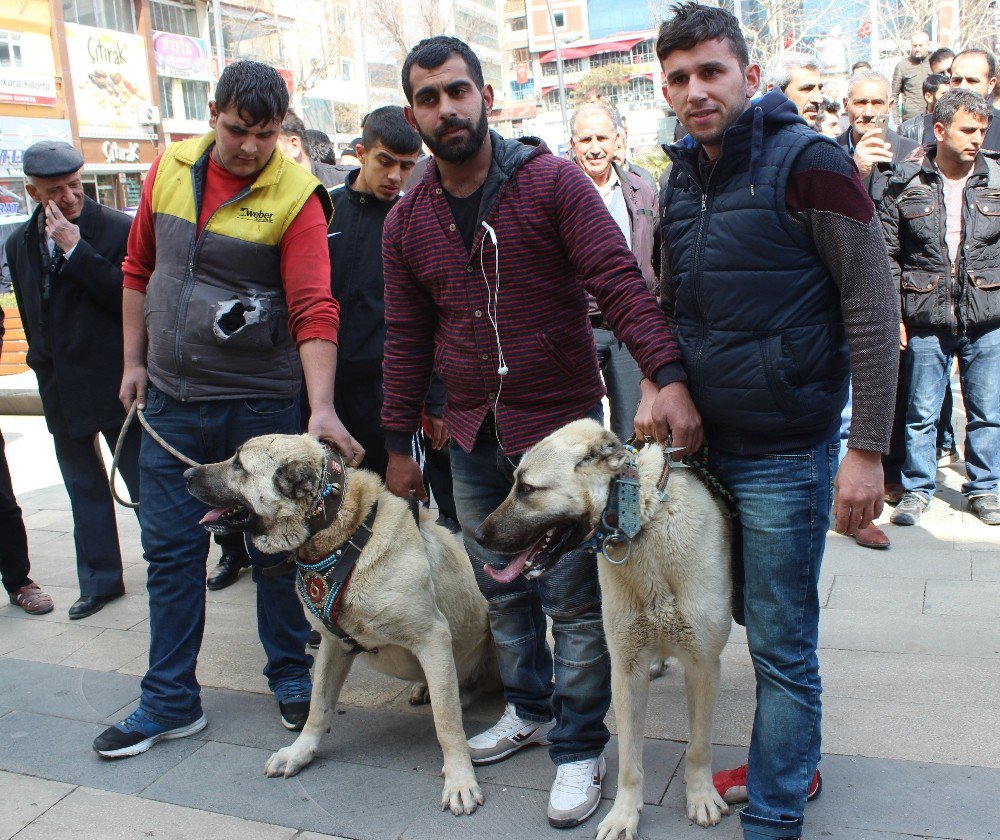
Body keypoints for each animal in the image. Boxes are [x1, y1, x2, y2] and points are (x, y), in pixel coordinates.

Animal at [184, 434, 496, 812]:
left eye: (239, 465)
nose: (185, 474)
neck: (346, 535)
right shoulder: (333, 645)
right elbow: (318, 705)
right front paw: (300, 753)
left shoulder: (432, 638)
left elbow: (447, 721)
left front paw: (460, 779)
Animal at [476, 420, 736, 840]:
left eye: (527, 488)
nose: (477, 536)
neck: (644, 521)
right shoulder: (626, 671)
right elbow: (630, 761)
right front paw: (624, 815)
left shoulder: (702, 665)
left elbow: (698, 747)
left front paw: (701, 797)